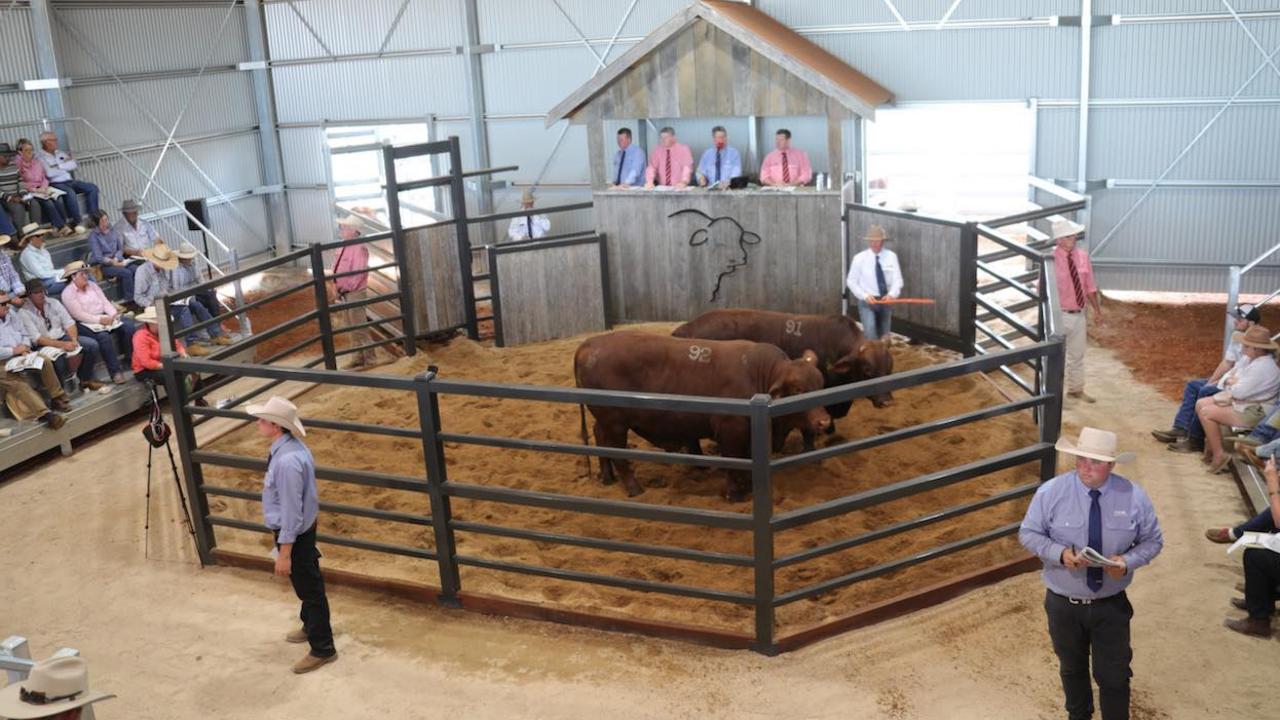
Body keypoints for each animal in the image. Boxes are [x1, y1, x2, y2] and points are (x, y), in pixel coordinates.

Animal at [573, 330, 829, 499]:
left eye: (820, 384)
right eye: (797, 390)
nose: (824, 422)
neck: (757, 375)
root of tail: (590, 344)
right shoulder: (731, 429)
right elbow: (733, 461)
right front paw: (735, 494)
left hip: (605, 421)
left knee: (599, 437)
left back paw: (606, 476)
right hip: (614, 422)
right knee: (616, 451)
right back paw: (634, 487)